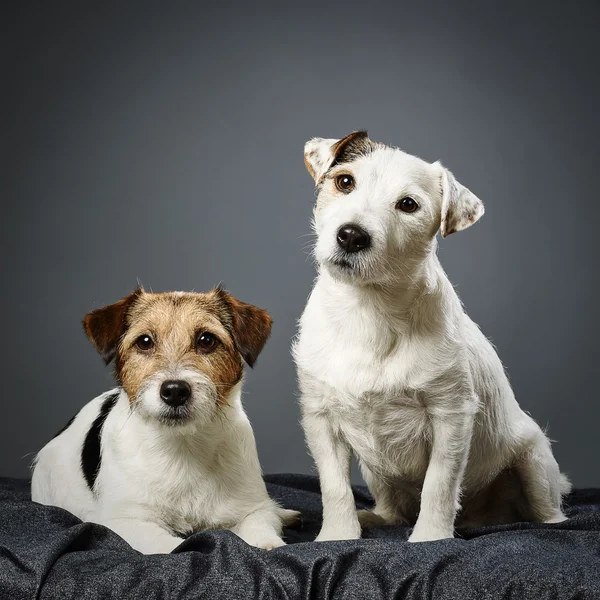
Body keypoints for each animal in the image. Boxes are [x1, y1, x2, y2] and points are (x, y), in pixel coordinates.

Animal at [31, 288, 296, 556]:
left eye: (207, 340)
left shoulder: (253, 506)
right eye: (145, 341)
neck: (183, 447)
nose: (175, 391)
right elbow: (171, 545)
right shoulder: (124, 521)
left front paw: (268, 543)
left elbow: (260, 523)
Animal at [292, 131, 568, 544]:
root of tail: (485, 517)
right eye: (344, 182)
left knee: (550, 513)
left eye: (408, 205)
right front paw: (338, 534)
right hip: (377, 472)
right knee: (392, 509)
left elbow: (439, 484)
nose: (352, 236)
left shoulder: (451, 414)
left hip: (534, 460)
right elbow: (334, 486)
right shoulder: (321, 418)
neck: (368, 311)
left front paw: (431, 538)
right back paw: (373, 517)